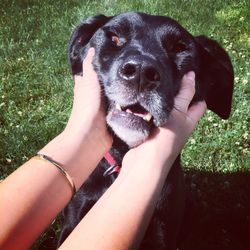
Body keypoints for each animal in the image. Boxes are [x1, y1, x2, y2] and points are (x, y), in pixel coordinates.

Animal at [57, 12, 233, 250]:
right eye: (114, 37)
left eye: (180, 48)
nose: (141, 71)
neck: (122, 163)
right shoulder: (72, 222)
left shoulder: (162, 231)